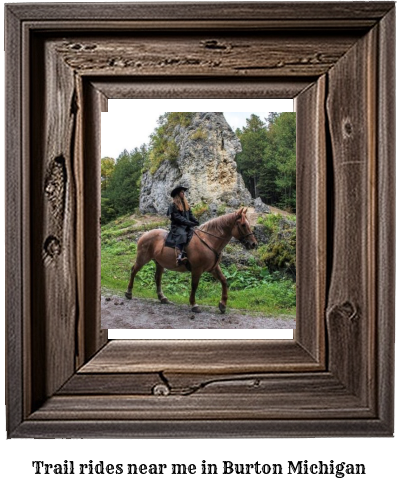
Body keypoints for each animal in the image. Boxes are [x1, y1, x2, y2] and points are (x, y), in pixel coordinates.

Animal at [123, 208, 258, 314]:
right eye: (243, 225)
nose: (253, 244)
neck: (208, 241)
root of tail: (145, 234)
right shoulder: (197, 269)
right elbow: (194, 285)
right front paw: (194, 304)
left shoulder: (213, 268)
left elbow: (224, 281)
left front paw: (223, 304)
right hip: (142, 259)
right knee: (134, 271)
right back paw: (129, 293)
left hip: (159, 263)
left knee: (157, 278)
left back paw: (162, 298)